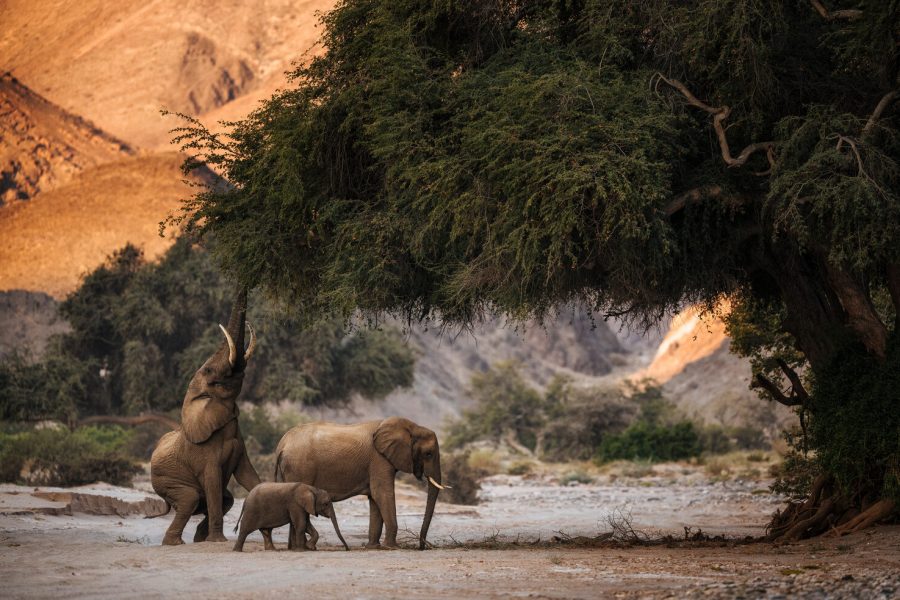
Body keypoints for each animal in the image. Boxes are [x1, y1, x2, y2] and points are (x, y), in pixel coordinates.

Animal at [147, 288, 262, 545]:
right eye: (209, 371)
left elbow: (248, 475)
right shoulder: (204, 453)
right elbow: (212, 482)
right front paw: (218, 541)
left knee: (225, 498)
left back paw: (199, 538)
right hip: (164, 479)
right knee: (191, 499)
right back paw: (175, 543)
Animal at [274, 417, 445, 550]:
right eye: (428, 454)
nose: (421, 547)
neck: (413, 426)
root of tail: (281, 444)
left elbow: (375, 499)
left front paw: (373, 547)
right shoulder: (379, 459)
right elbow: (382, 493)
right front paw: (392, 547)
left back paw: (294, 548)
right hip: (299, 467)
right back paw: (302, 547)